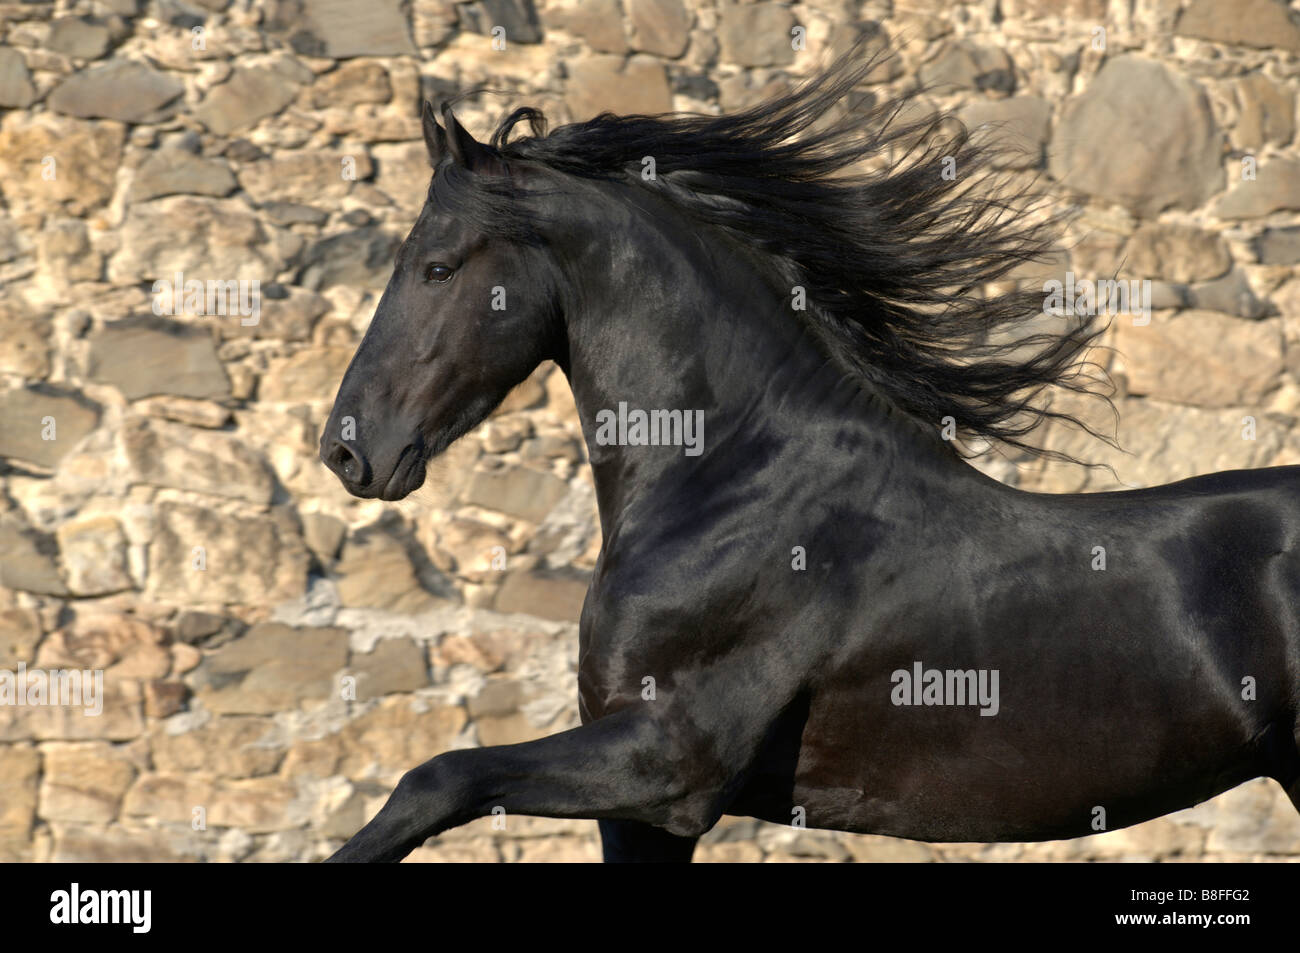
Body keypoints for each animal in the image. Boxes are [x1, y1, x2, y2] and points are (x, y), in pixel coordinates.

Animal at [318, 41, 1300, 862]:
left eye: (438, 267)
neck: (738, 484)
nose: (346, 451)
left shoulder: (667, 762)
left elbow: (437, 775)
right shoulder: (642, 809)